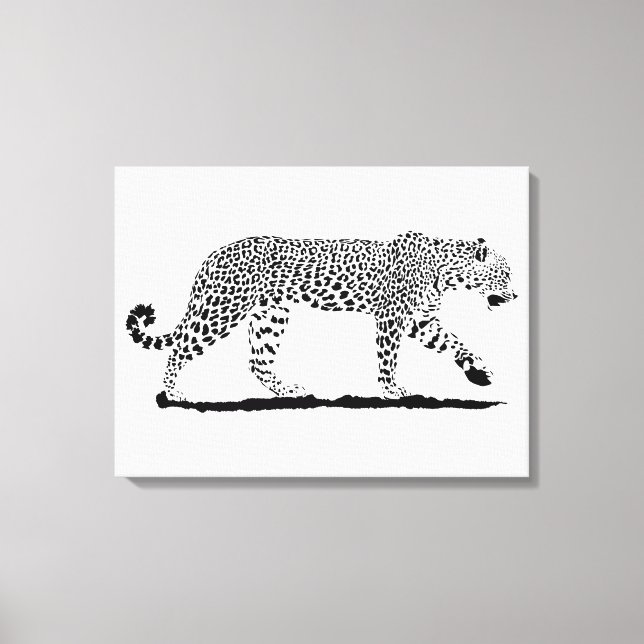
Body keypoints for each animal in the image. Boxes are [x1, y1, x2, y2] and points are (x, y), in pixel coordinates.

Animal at [126, 232, 517, 401]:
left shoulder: (421, 321)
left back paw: (289, 390)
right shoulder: (391, 317)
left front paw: (479, 372)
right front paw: (391, 389)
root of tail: (213, 255)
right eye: (507, 274)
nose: (515, 296)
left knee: (258, 362)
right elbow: (388, 358)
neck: (448, 273)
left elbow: (456, 343)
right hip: (223, 310)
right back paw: (172, 392)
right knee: (181, 347)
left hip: (271, 316)